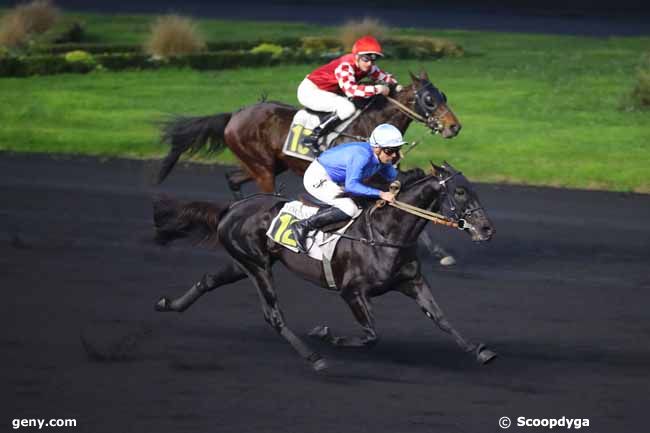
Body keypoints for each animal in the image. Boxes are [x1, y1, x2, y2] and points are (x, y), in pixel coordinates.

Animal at [153, 163, 496, 372]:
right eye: (460, 192)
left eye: (474, 189)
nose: (487, 229)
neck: (385, 233)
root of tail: (233, 206)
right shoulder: (351, 291)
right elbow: (371, 335)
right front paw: (326, 334)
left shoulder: (412, 282)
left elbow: (441, 318)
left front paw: (479, 350)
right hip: (257, 266)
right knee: (273, 315)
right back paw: (313, 357)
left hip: (246, 261)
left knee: (209, 279)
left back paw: (169, 304)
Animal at [156, 69, 460, 196]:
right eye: (429, 99)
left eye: (443, 95)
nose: (454, 126)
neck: (372, 126)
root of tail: (234, 115)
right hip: (263, 169)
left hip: (269, 165)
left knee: (232, 179)